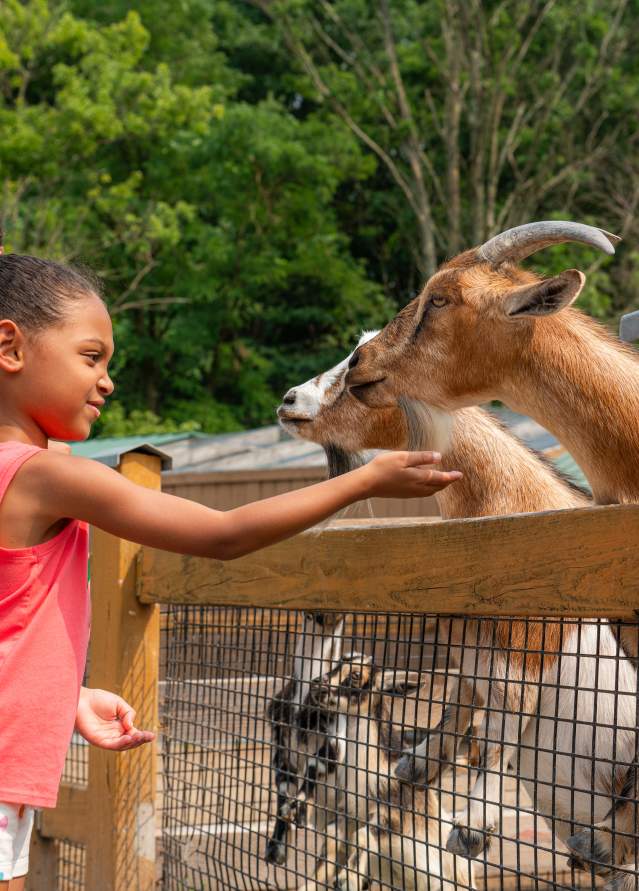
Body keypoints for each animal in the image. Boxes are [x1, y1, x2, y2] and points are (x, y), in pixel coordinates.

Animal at [282, 334, 639, 891]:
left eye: (359, 366)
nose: (289, 400)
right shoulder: (471, 656)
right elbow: (457, 708)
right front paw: (415, 765)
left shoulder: (521, 659)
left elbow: (496, 736)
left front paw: (471, 829)